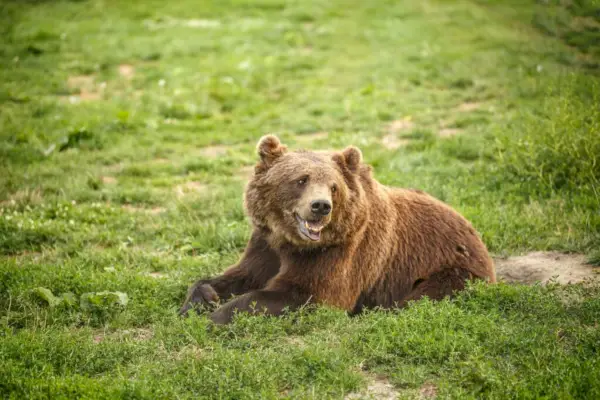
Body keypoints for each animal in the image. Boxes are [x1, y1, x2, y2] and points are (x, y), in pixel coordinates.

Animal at [179, 136, 496, 324]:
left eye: (333, 186)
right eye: (301, 179)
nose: (321, 206)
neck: (291, 241)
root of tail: (473, 230)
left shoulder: (340, 253)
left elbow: (305, 293)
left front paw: (216, 316)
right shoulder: (265, 244)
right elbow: (240, 275)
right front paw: (200, 299)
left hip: (452, 270)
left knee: (421, 298)